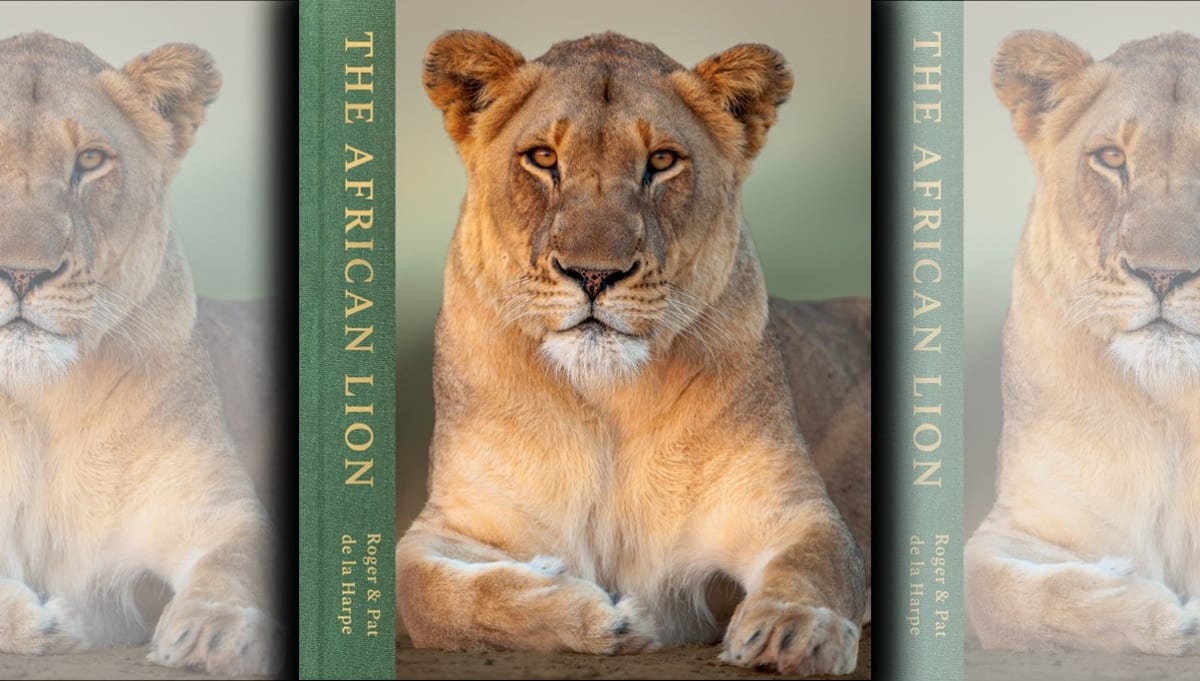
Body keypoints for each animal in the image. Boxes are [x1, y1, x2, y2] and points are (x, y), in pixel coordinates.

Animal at [0, 33, 282, 675]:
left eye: (90, 161)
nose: (22, 274)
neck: (40, 407)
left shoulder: (218, 510)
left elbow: (237, 558)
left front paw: (214, 631)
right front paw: (46, 622)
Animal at [394, 31, 871, 676]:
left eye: (662, 162)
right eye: (542, 158)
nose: (594, 274)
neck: (607, 404)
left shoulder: (793, 511)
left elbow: (817, 562)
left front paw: (796, 630)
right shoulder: (454, 520)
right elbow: (426, 595)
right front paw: (599, 617)